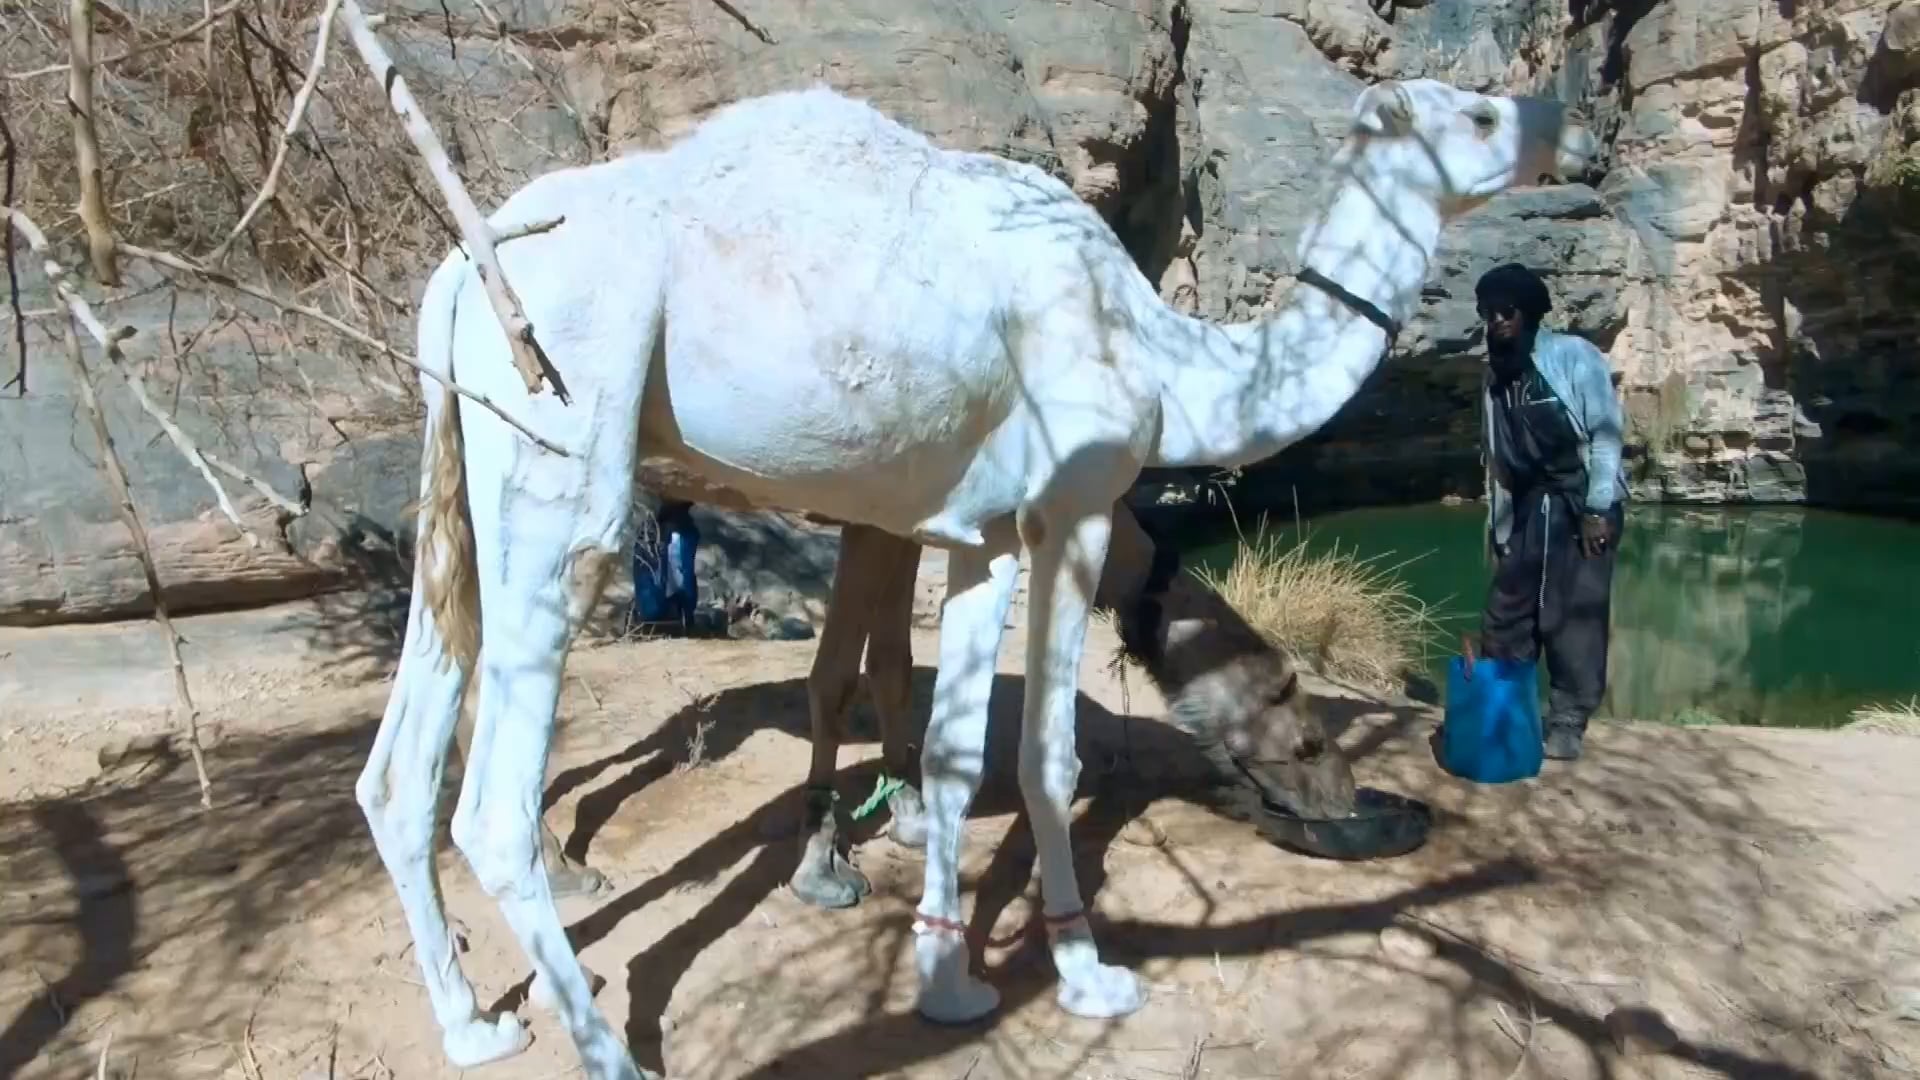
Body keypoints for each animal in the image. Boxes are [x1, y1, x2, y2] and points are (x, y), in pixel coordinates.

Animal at [357, 77, 1594, 1079]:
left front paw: (949, 983)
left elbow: (951, 755)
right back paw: (611, 1053)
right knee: (491, 802)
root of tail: (461, 268)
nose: (1568, 128)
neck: (1166, 354)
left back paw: (475, 1026)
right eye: (1478, 116)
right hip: (565, 440)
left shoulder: (982, 534)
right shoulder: (1073, 509)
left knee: (400, 763)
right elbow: (1046, 756)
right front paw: (1088, 975)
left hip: (463, 461)